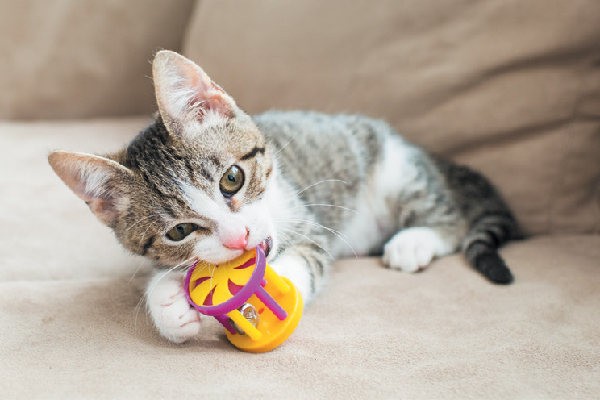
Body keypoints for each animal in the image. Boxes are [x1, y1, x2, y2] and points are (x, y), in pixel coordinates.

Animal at [49, 50, 520, 344]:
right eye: (179, 231)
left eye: (232, 179)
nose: (238, 238)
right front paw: (167, 303)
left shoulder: (312, 222)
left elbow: (302, 261)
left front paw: (277, 289)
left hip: (398, 169)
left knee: (453, 220)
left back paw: (414, 241)